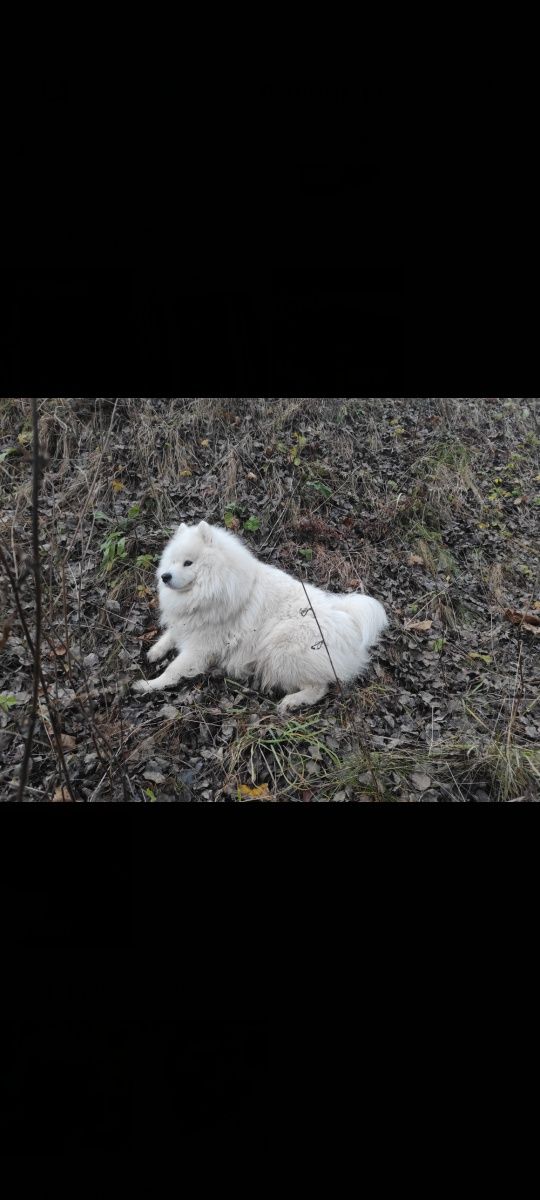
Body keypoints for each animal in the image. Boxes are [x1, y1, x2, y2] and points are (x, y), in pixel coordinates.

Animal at [133, 518, 388, 705]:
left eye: (188, 563)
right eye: (172, 561)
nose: (165, 577)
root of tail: (349, 621)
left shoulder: (200, 648)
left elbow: (173, 671)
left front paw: (148, 685)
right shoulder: (188, 624)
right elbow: (170, 635)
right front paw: (155, 651)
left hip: (283, 648)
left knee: (320, 686)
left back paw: (293, 701)